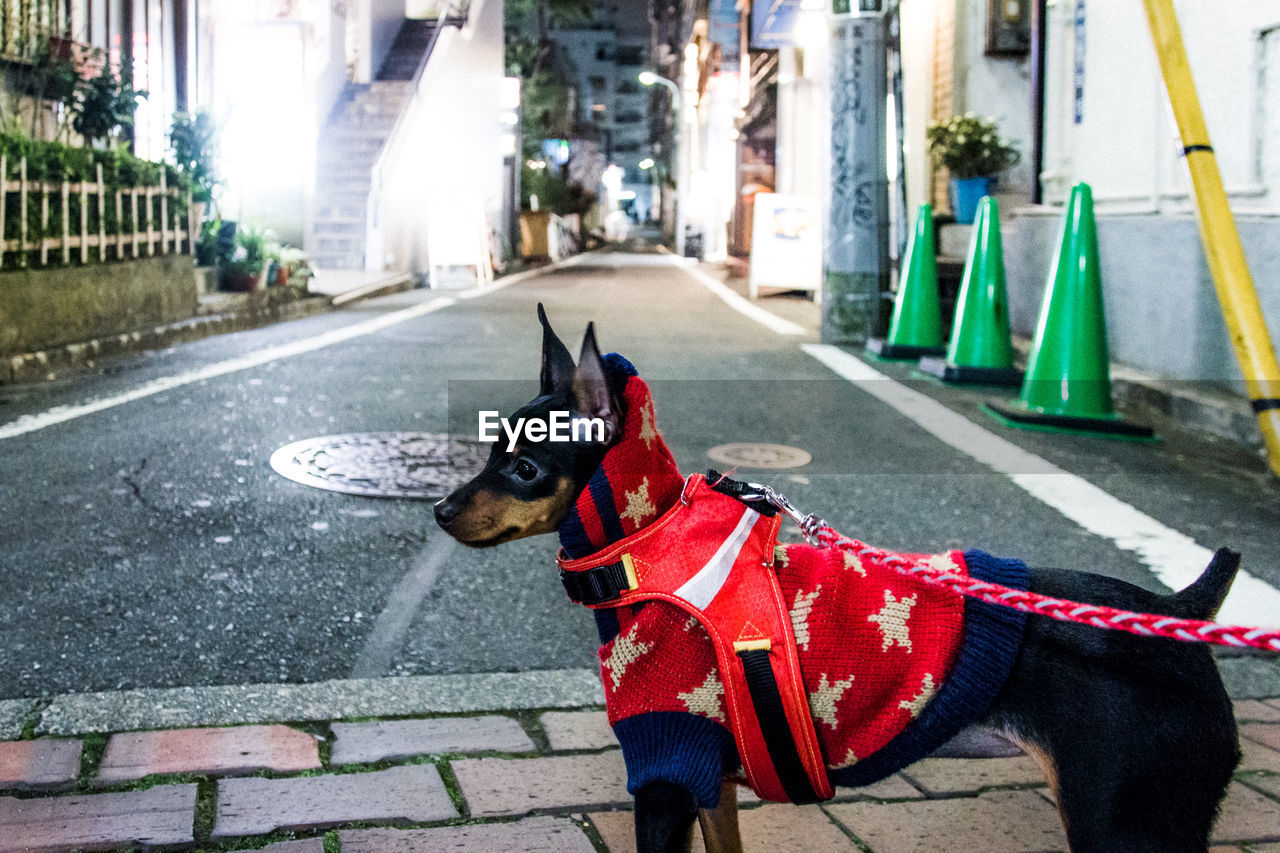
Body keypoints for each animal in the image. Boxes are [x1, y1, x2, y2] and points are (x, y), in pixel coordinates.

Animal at [437, 306, 1239, 850]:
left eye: (526, 467)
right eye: (491, 448)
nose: (440, 509)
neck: (651, 554)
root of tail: (1176, 609)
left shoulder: (664, 771)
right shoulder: (710, 781)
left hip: (1126, 822)